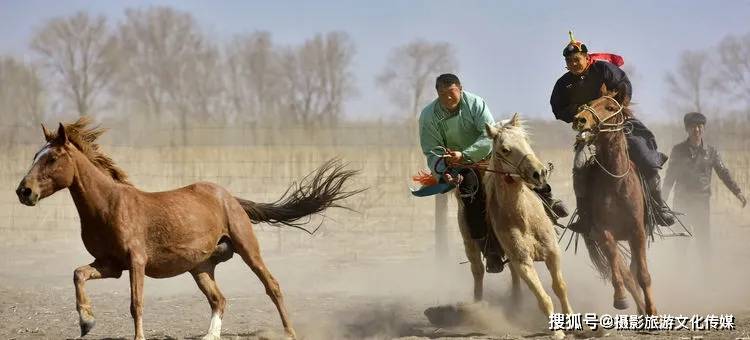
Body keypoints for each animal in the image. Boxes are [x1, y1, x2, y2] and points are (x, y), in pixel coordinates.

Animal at [13, 117, 362, 340]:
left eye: (52, 158)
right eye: (35, 156)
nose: (23, 191)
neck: (108, 206)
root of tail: (229, 196)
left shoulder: (136, 262)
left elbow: (135, 304)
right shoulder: (110, 265)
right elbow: (78, 274)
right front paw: (86, 322)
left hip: (248, 249)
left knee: (272, 286)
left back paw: (289, 332)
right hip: (200, 266)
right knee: (219, 300)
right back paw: (209, 337)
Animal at [572, 85, 656, 316]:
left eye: (610, 107)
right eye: (589, 104)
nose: (580, 119)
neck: (616, 182)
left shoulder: (637, 232)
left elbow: (643, 275)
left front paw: (652, 311)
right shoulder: (604, 233)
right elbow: (622, 275)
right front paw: (620, 299)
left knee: (634, 270)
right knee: (626, 274)